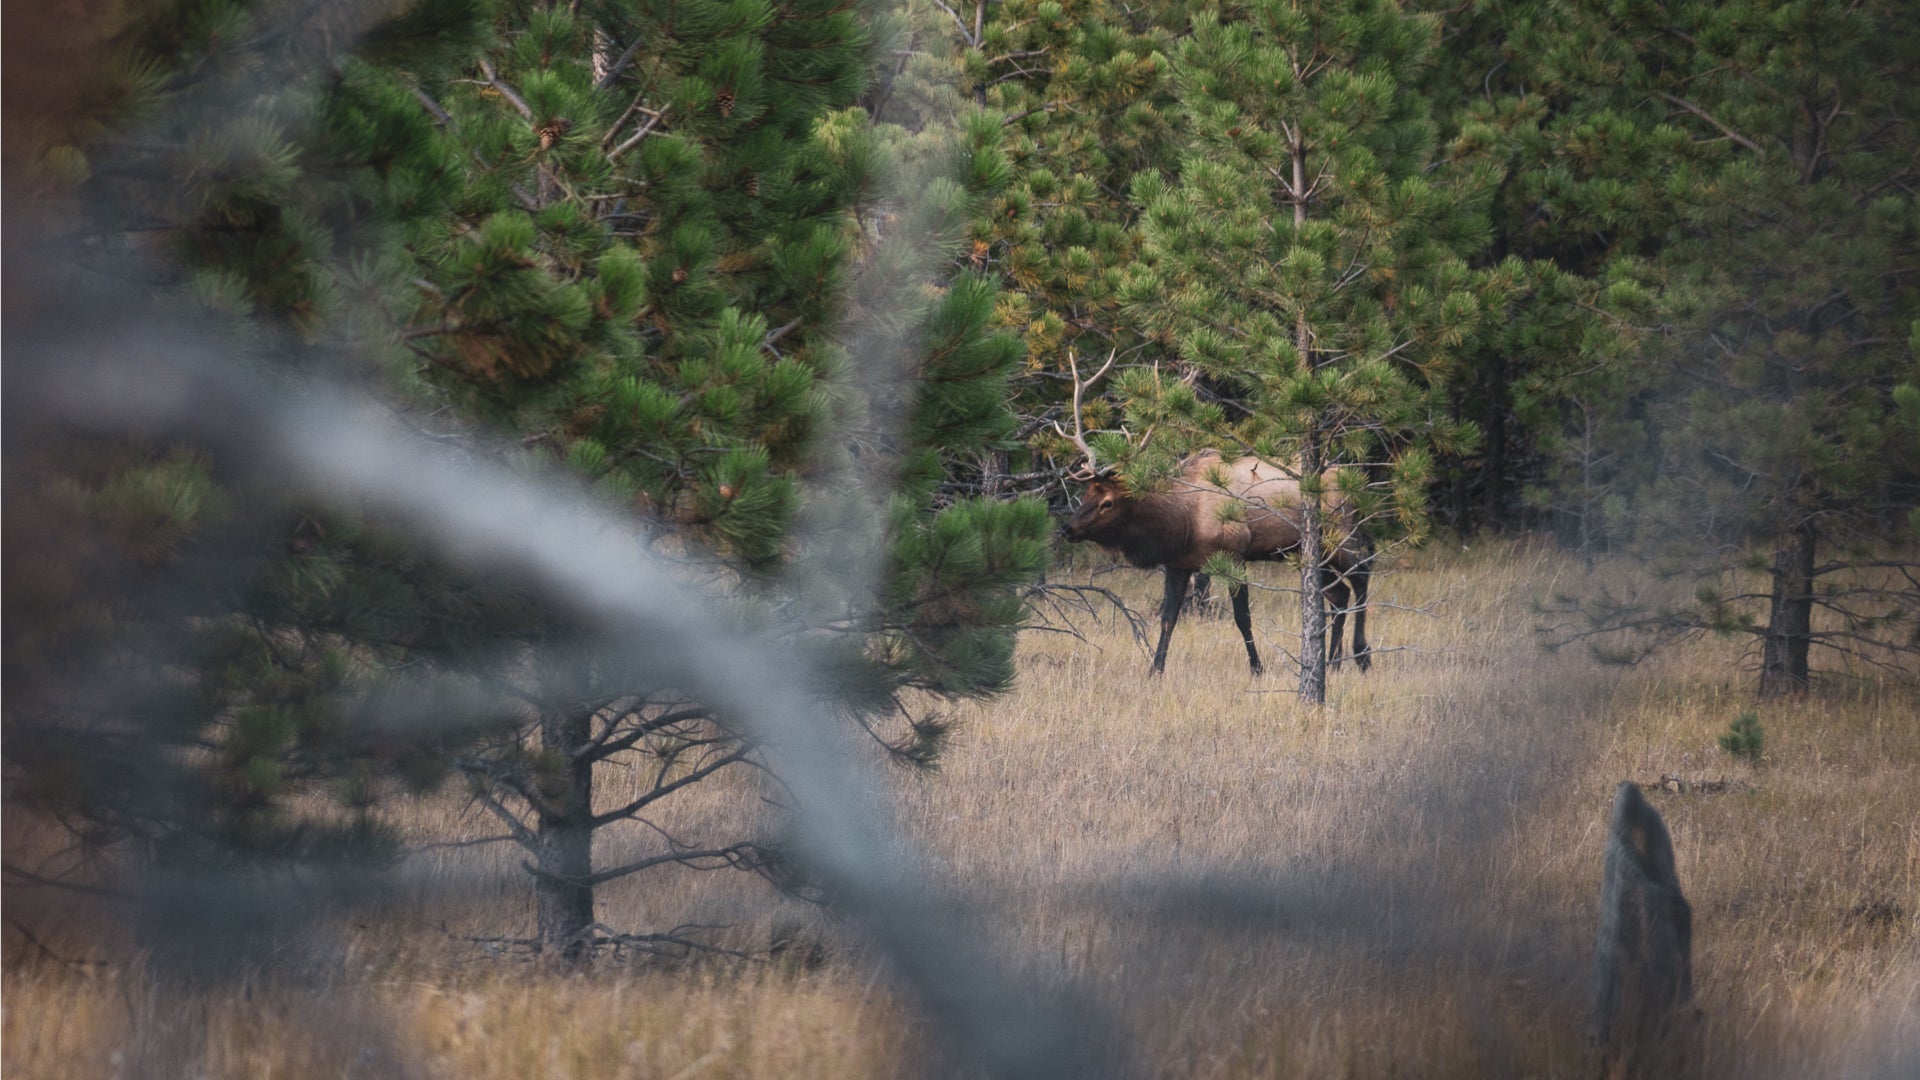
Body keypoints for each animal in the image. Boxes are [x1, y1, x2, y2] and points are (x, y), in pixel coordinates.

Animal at [1059, 351, 1374, 672]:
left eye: (1108, 501)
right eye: (1086, 493)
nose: (1067, 528)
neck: (1182, 521)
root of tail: (1355, 482)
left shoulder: (1234, 553)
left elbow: (1242, 617)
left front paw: (1257, 668)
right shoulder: (1178, 563)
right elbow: (1168, 619)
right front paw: (1155, 670)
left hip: (1338, 535)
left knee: (1361, 573)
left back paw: (1361, 654)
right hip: (1308, 550)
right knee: (1339, 594)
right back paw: (1333, 661)